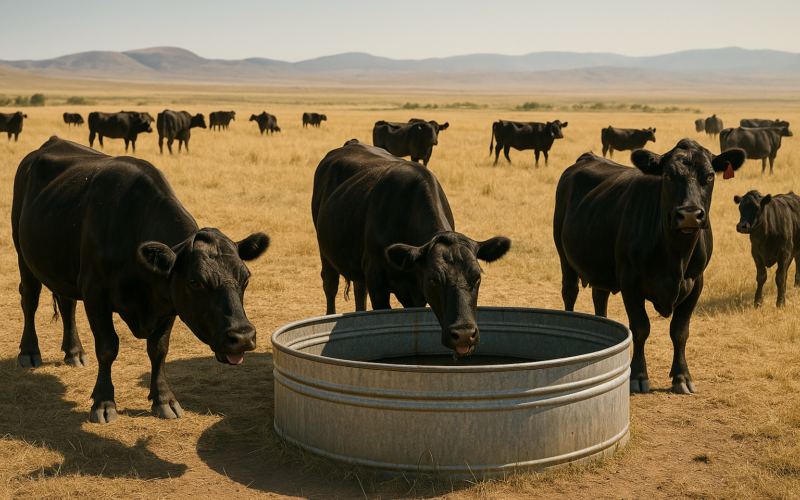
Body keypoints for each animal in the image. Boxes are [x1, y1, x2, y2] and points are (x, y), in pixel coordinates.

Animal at [12, 137, 270, 423]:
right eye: (195, 282)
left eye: (245, 278)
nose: (243, 336)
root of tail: (51, 142)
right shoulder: (94, 292)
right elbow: (107, 347)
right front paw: (104, 403)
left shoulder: (167, 300)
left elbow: (159, 349)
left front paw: (164, 399)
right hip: (24, 254)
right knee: (30, 299)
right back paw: (29, 352)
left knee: (67, 303)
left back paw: (74, 352)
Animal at [312, 139, 511, 355]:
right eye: (433, 279)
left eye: (477, 277)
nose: (464, 334)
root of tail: (352, 143)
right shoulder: (377, 280)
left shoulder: (414, 293)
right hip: (324, 249)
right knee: (330, 284)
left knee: (359, 289)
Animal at [554, 139, 745, 394]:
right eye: (668, 176)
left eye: (710, 176)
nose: (689, 215)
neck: (676, 255)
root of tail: (589, 157)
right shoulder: (630, 280)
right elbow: (640, 328)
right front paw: (638, 376)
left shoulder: (696, 282)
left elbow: (680, 331)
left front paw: (682, 377)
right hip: (563, 254)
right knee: (570, 292)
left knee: (600, 297)